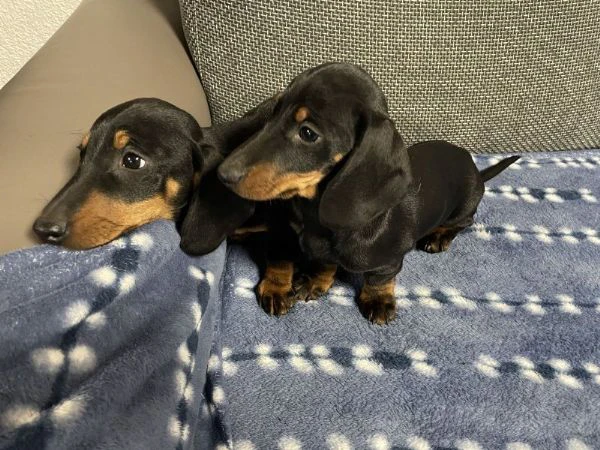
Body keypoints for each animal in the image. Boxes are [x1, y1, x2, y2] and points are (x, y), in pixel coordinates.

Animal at [218, 62, 519, 324]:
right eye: (272, 113)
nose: (222, 174)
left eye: (308, 133)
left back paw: (439, 236)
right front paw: (316, 281)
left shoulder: (389, 260)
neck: (316, 216)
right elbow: (323, 263)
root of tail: (474, 168)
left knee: (464, 222)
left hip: (464, 206)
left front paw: (378, 301)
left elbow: (379, 279)